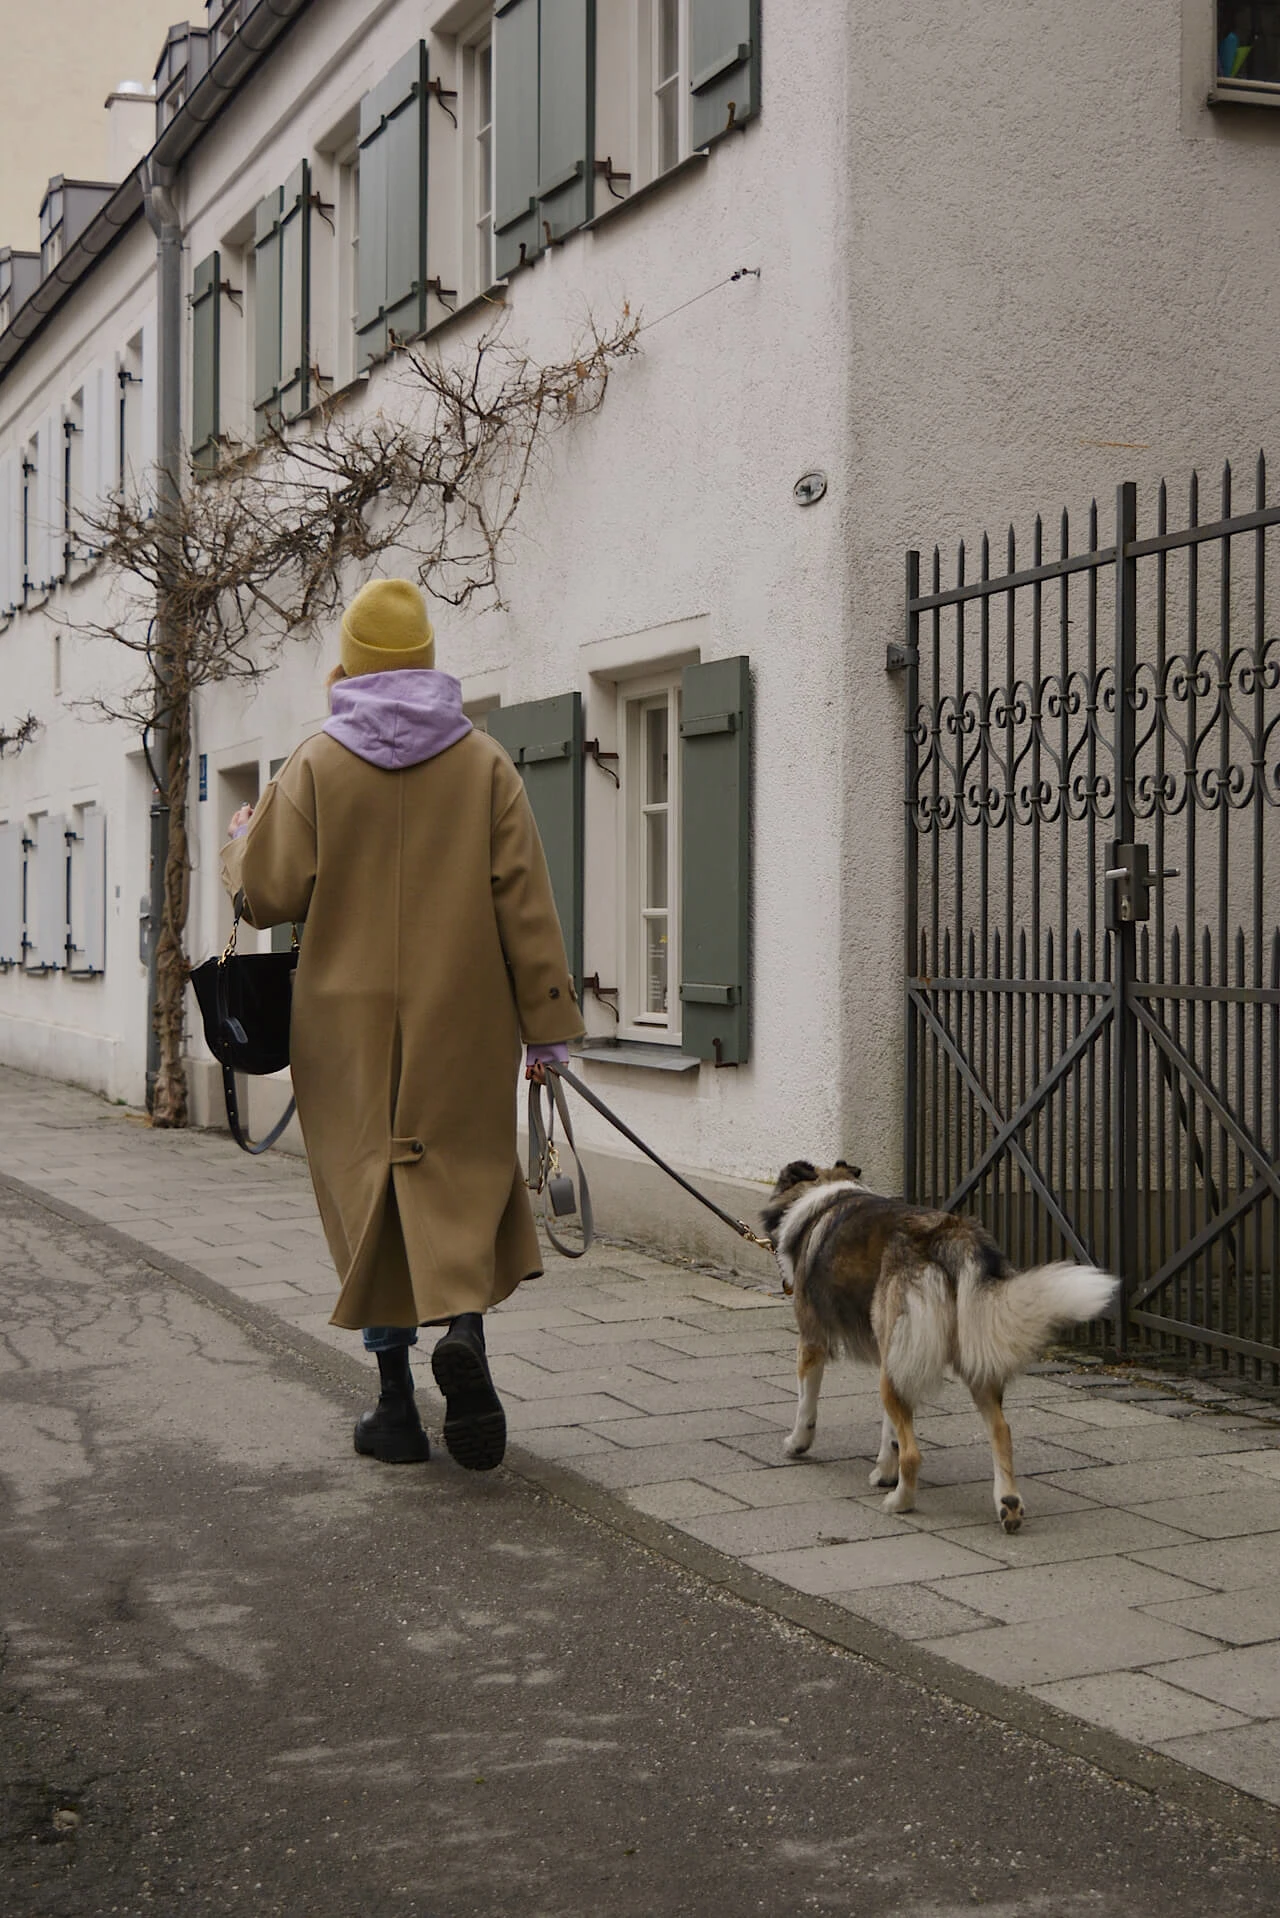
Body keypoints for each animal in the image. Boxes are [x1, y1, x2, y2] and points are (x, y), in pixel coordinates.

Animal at [767, 1158, 1113, 1534]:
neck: (824, 1193)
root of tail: (952, 1236)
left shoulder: (813, 1341)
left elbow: (806, 1404)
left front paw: (797, 1444)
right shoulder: (896, 1355)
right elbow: (891, 1429)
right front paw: (885, 1472)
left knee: (914, 1454)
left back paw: (901, 1503)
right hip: (968, 1354)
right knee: (1001, 1431)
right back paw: (1008, 1504)